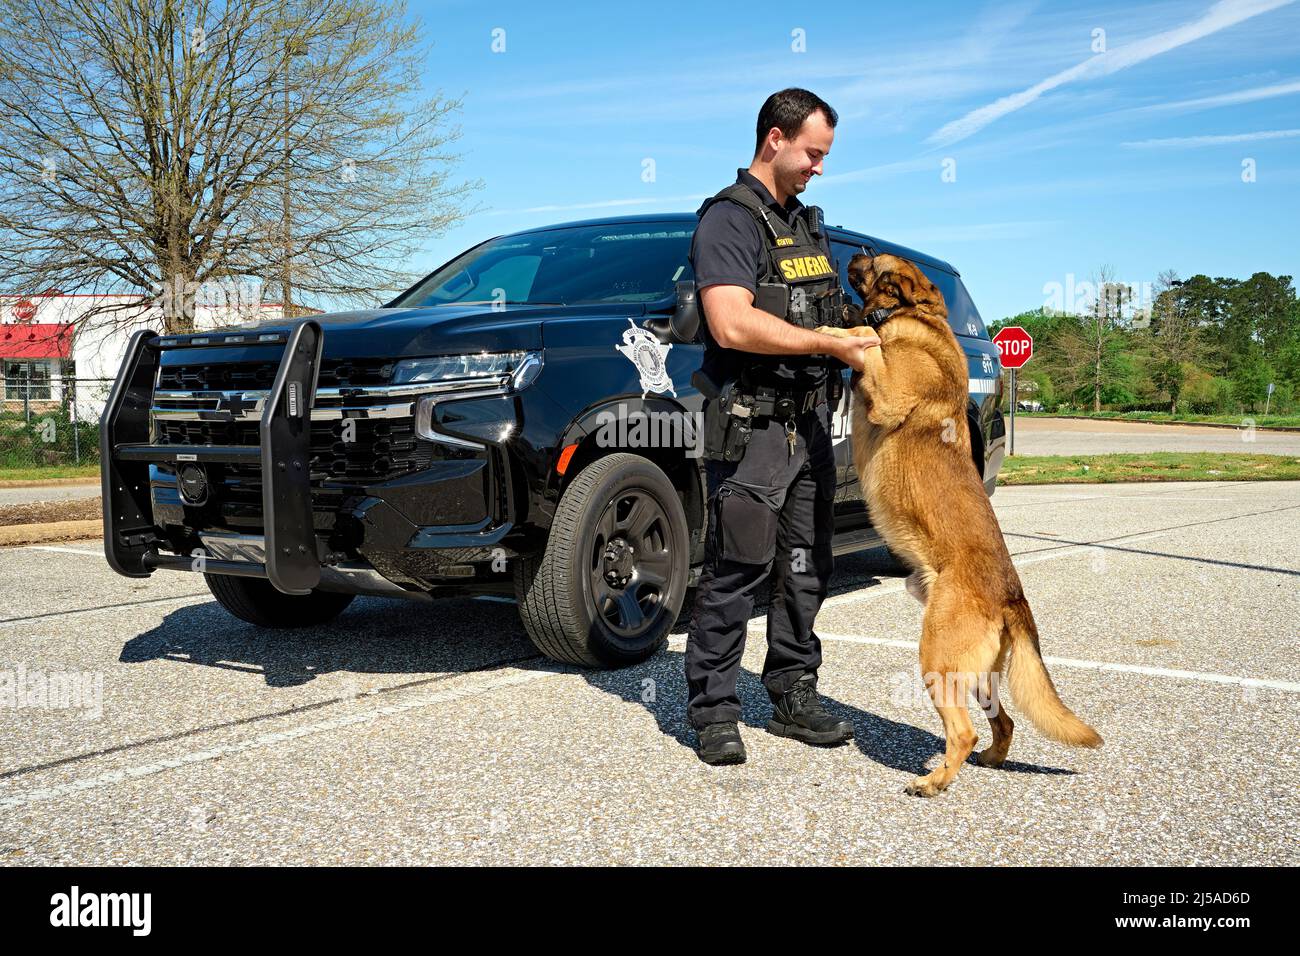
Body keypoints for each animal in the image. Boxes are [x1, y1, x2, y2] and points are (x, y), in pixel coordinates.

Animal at [821, 256, 1097, 801]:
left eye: (871, 263)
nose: (852, 253)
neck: (918, 315)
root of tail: (1013, 595)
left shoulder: (887, 391)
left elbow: (866, 336)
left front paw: (838, 329)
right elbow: (867, 333)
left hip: (938, 659)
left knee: (964, 731)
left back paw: (934, 782)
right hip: (977, 674)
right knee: (1003, 723)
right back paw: (990, 759)